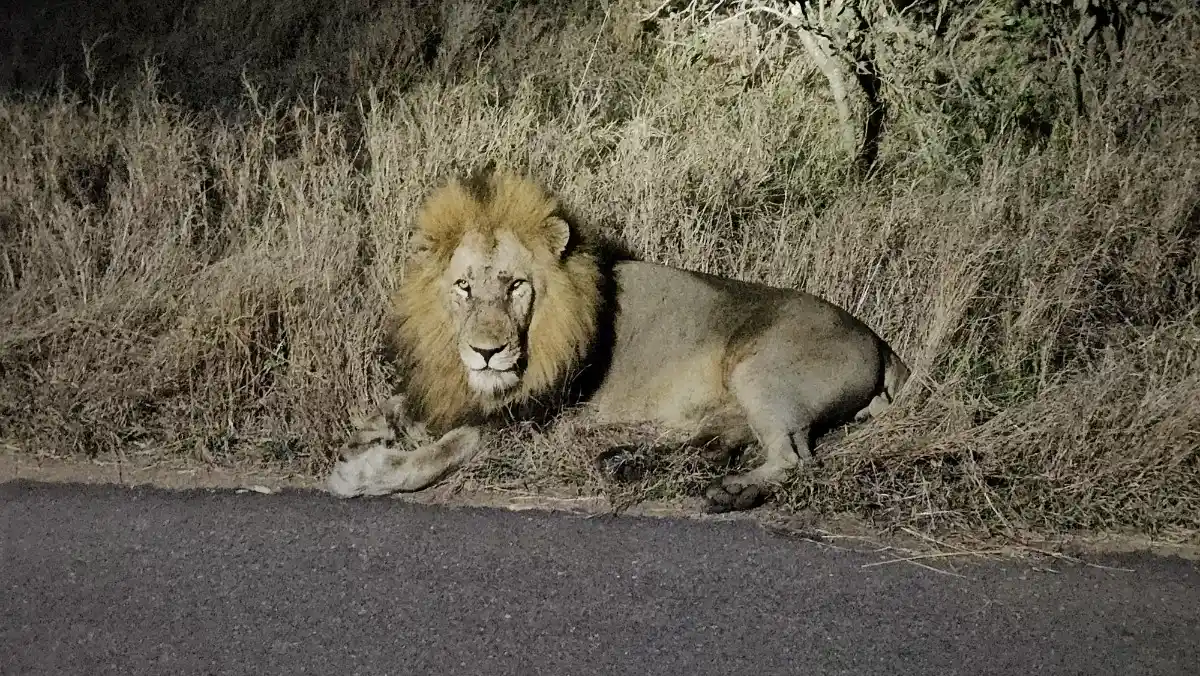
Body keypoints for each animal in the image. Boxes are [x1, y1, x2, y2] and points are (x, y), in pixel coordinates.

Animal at [326, 165, 910, 512]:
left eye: (516, 286)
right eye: (464, 287)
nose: (486, 352)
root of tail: (878, 341)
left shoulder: (529, 419)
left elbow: (444, 450)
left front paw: (367, 471)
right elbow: (403, 408)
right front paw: (368, 426)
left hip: (759, 368)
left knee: (794, 459)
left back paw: (731, 492)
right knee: (722, 440)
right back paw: (630, 462)